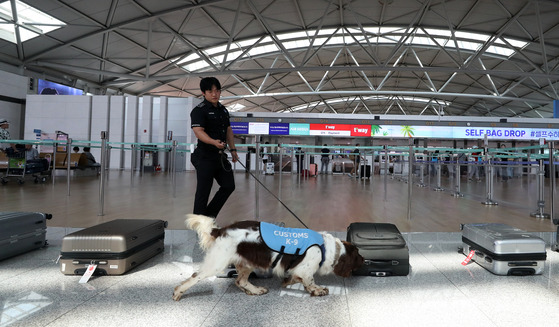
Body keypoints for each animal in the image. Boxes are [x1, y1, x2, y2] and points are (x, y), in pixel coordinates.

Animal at [173, 214, 366, 302]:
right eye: (357, 254)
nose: (365, 260)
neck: (325, 248)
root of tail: (220, 230)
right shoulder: (305, 270)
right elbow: (309, 281)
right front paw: (318, 290)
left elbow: (296, 279)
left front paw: (288, 282)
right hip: (218, 262)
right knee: (195, 277)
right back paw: (178, 292)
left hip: (246, 262)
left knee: (240, 281)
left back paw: (255, 290)